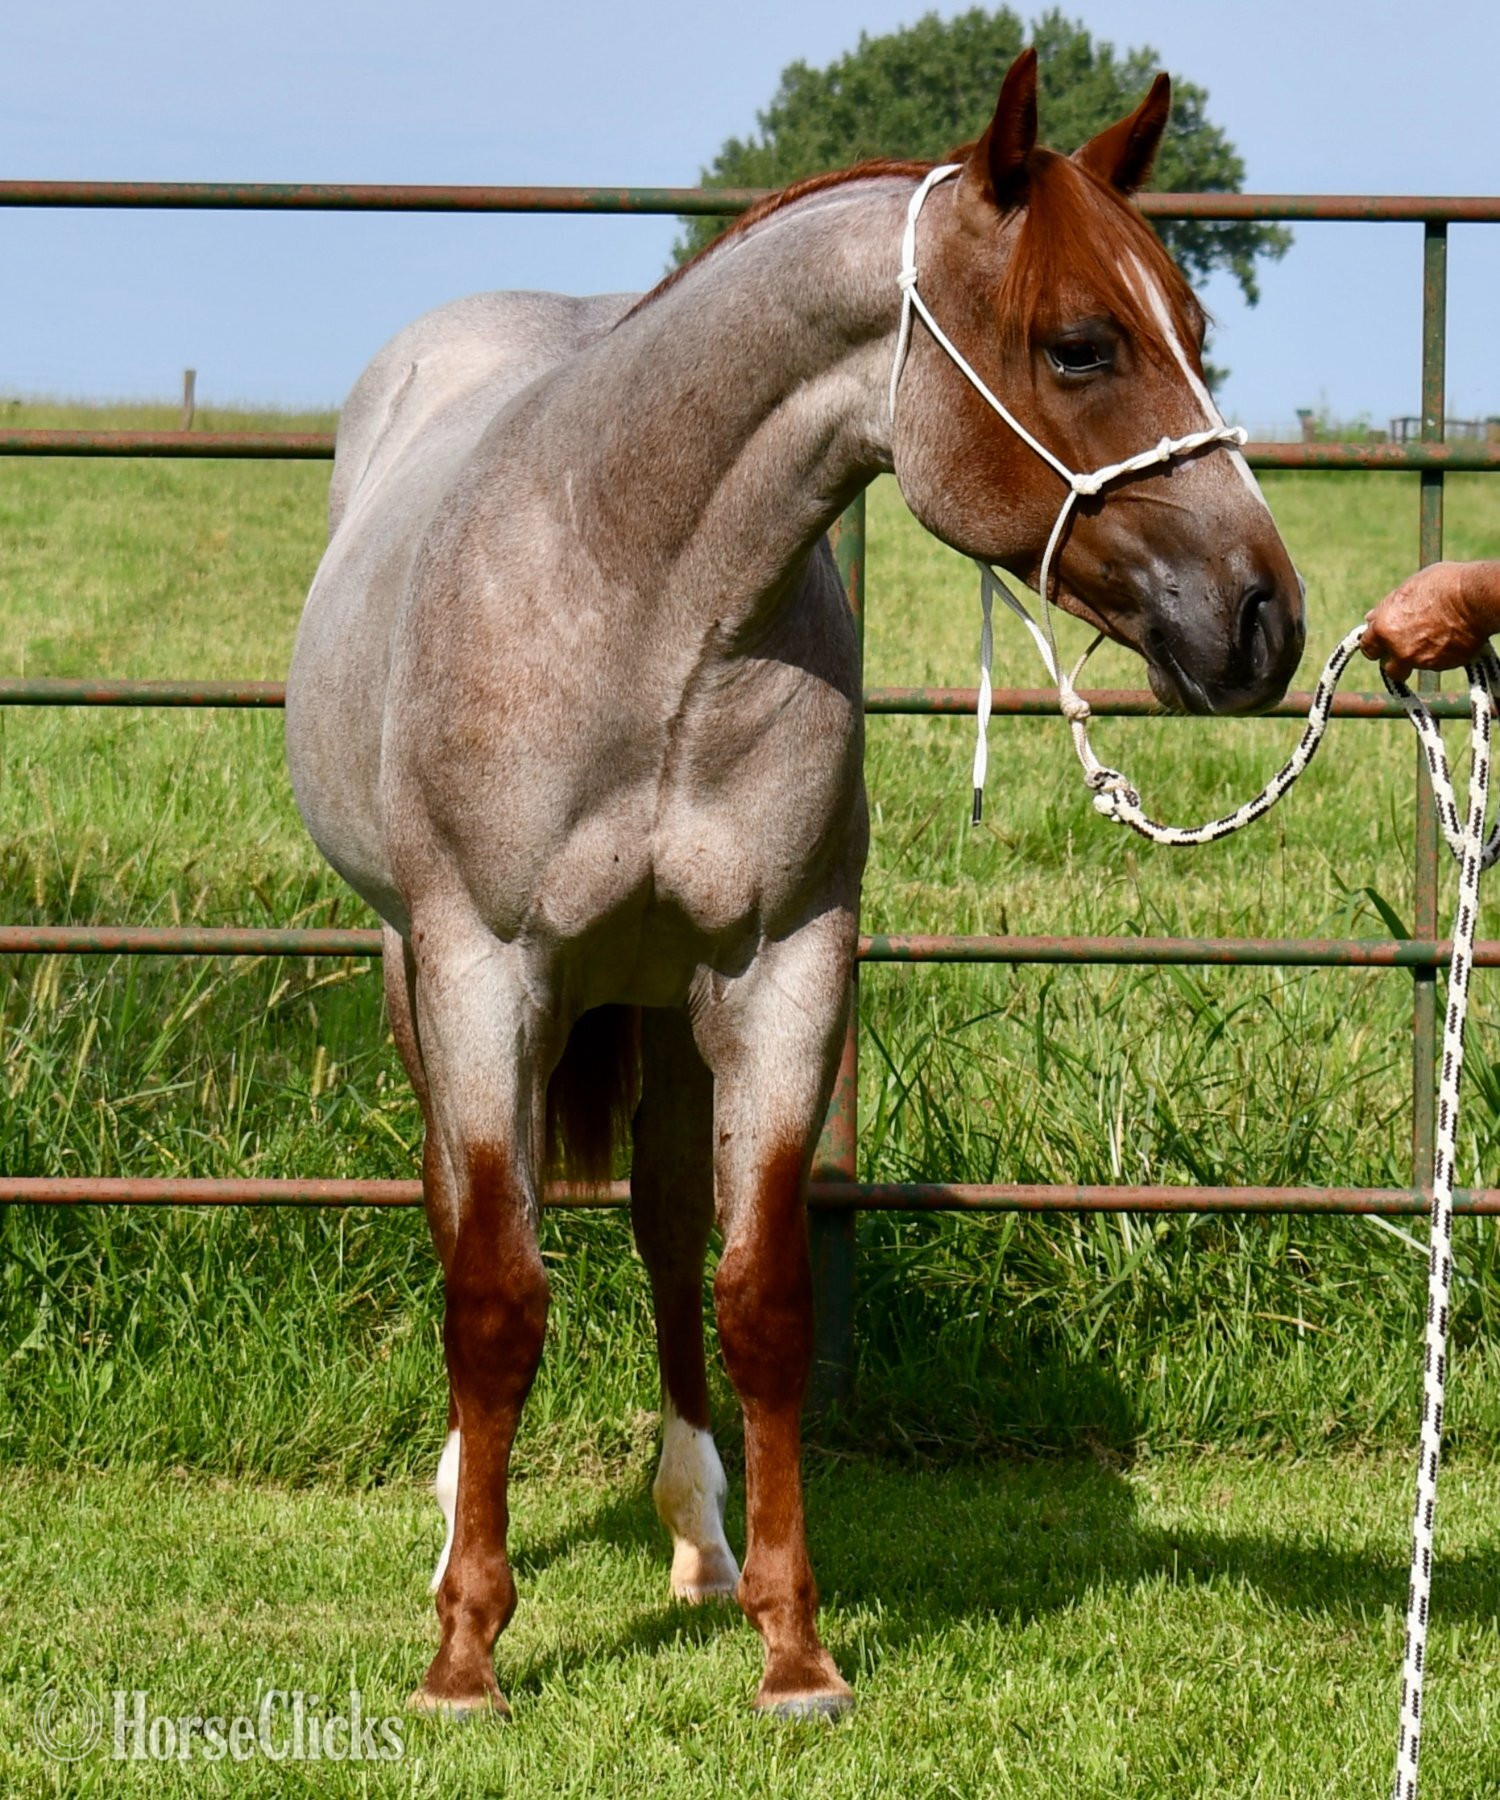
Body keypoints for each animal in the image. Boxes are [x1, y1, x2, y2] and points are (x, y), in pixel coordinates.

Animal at [284, 47, 1304, 1721]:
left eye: (1198, 337)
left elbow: (758, 1295)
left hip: (658, 998)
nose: (1261, 618)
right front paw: (464, 1652)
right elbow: (495, 1295)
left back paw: (694, 1535)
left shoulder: (781, 968)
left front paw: (792, 1645)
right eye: (1082, 345)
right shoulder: (485, 965)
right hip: (412, 974)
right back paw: (454, 1520)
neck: (645, 606)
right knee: (456, 1209)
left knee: (658, 1218)